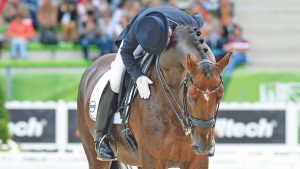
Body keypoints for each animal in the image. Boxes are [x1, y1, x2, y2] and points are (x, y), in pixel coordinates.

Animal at [77, 25, 230, 169]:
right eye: (190, 97)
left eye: (220, 96)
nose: (204, 145)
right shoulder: (152, 160)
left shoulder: (197, 161)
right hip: (94, 155)